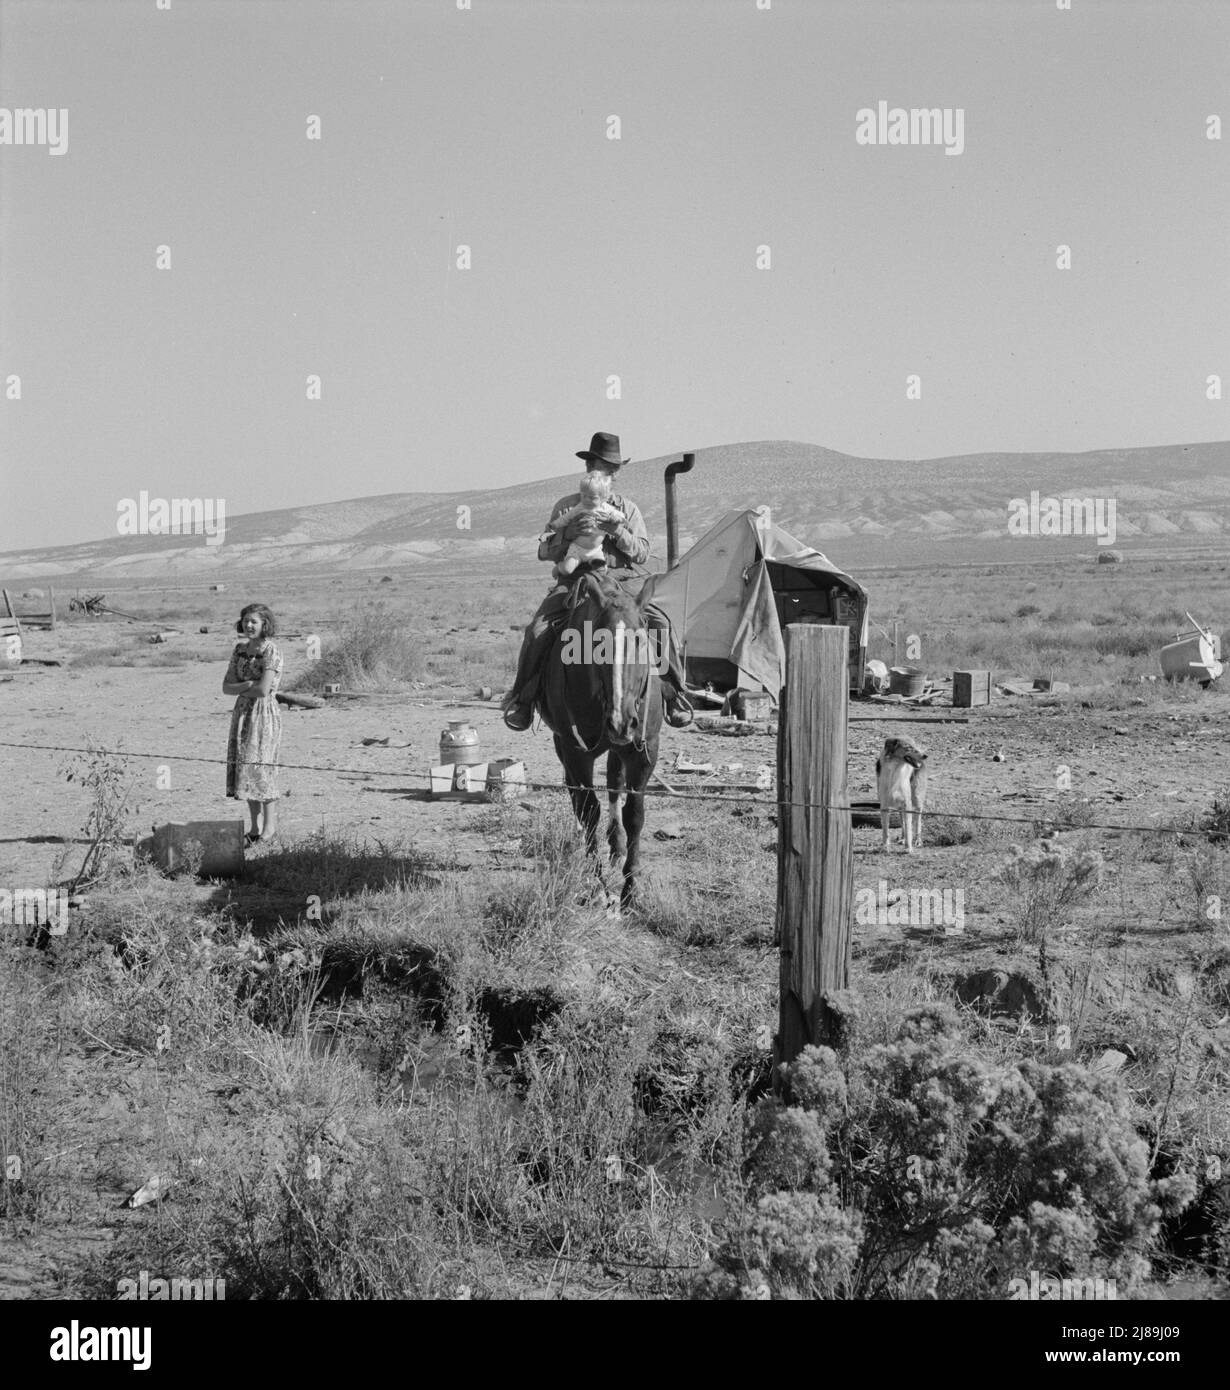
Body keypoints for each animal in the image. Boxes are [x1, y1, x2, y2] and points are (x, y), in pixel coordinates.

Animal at [536, 567, 661, 911]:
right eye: (596, 642)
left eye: (640, 638)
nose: (621, 721)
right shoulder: (576, 752)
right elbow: (589, 809)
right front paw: (599, 886)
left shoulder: (644, 750)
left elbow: (634, 813)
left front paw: (631, 891)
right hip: (564, 744)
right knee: (577, 796)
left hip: (620, 747)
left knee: (614, 784)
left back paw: (616, 846)